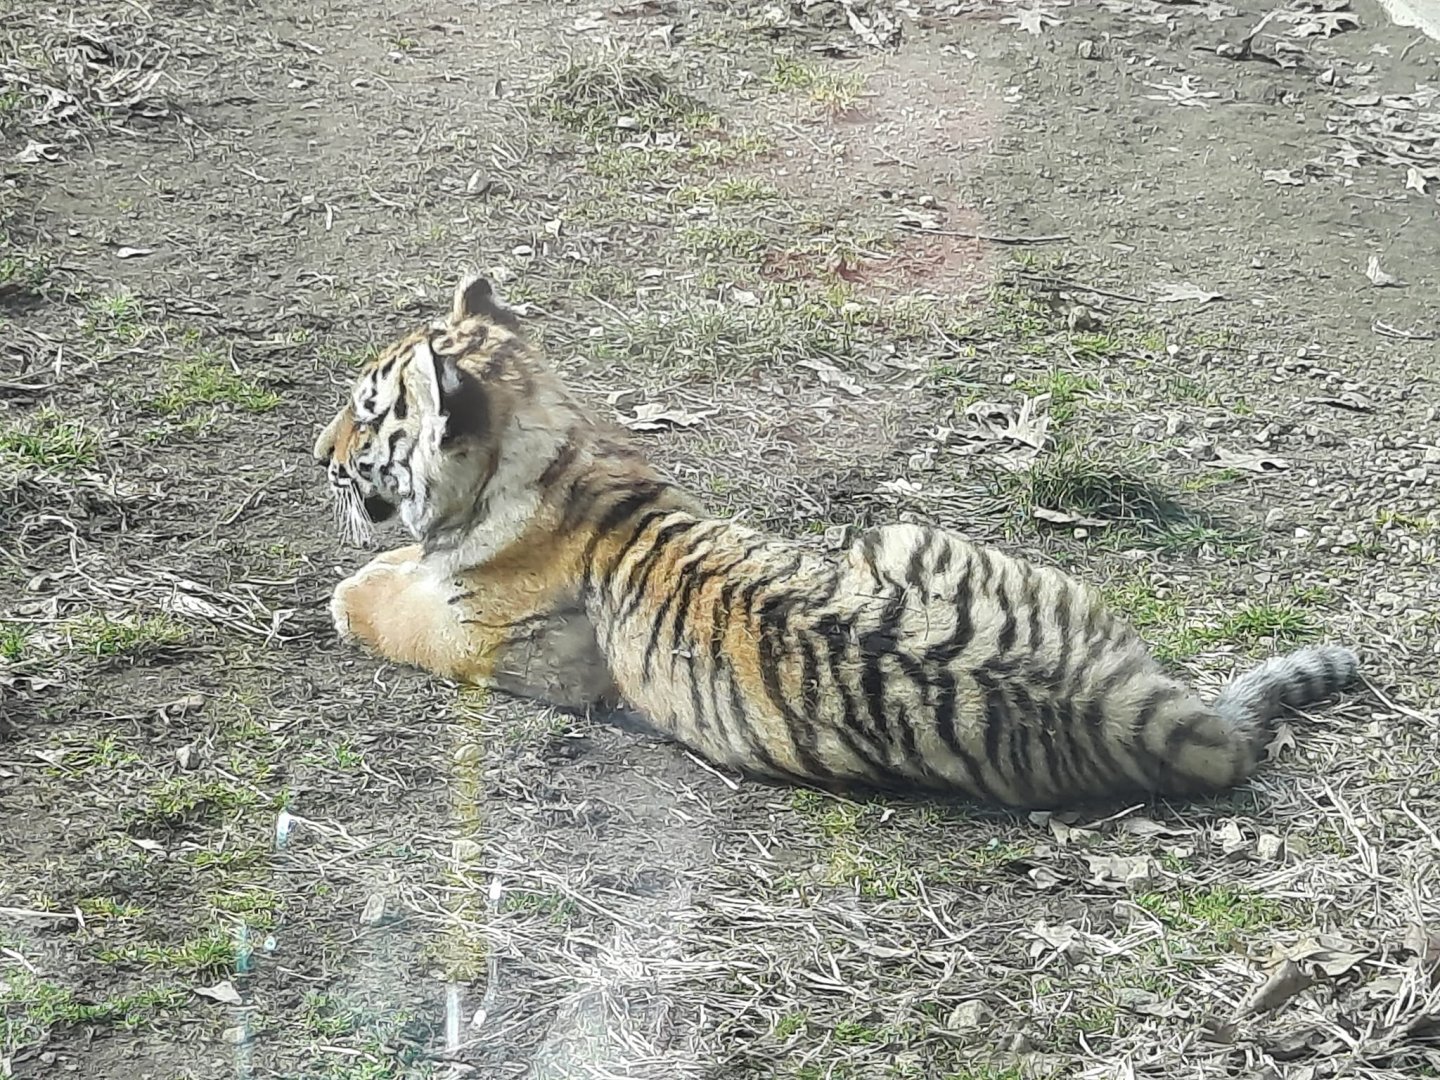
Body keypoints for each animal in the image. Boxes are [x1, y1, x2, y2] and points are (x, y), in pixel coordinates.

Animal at [312, 272, 1361, 810]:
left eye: (366, 414)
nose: (320, 455)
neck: (554, 454)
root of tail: (1139, 707)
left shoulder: (497, 647)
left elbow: (398, 611)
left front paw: (357, 589)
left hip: (890, 532)